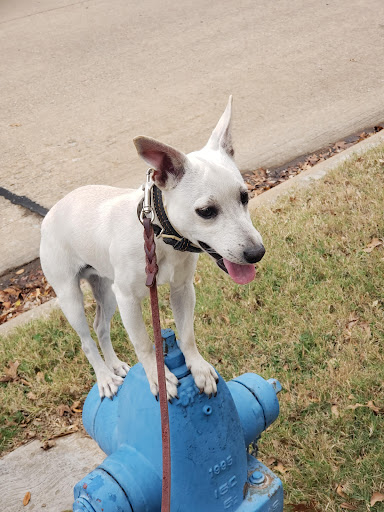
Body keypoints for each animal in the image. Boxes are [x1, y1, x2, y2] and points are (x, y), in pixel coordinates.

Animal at [40, 96, 266, 400]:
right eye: (206, 211)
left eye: (245, 197)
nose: (257, 253)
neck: (159, 233)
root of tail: (51, 212)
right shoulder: (128, 299)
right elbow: (145, 344)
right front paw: (159, 379)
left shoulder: (182, 289)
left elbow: (187, 334)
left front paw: (198, 368)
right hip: (71, 296)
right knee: (86, 340)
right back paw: (105, 378)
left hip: (106, 290)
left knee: (101, 327)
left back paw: (114, 365)